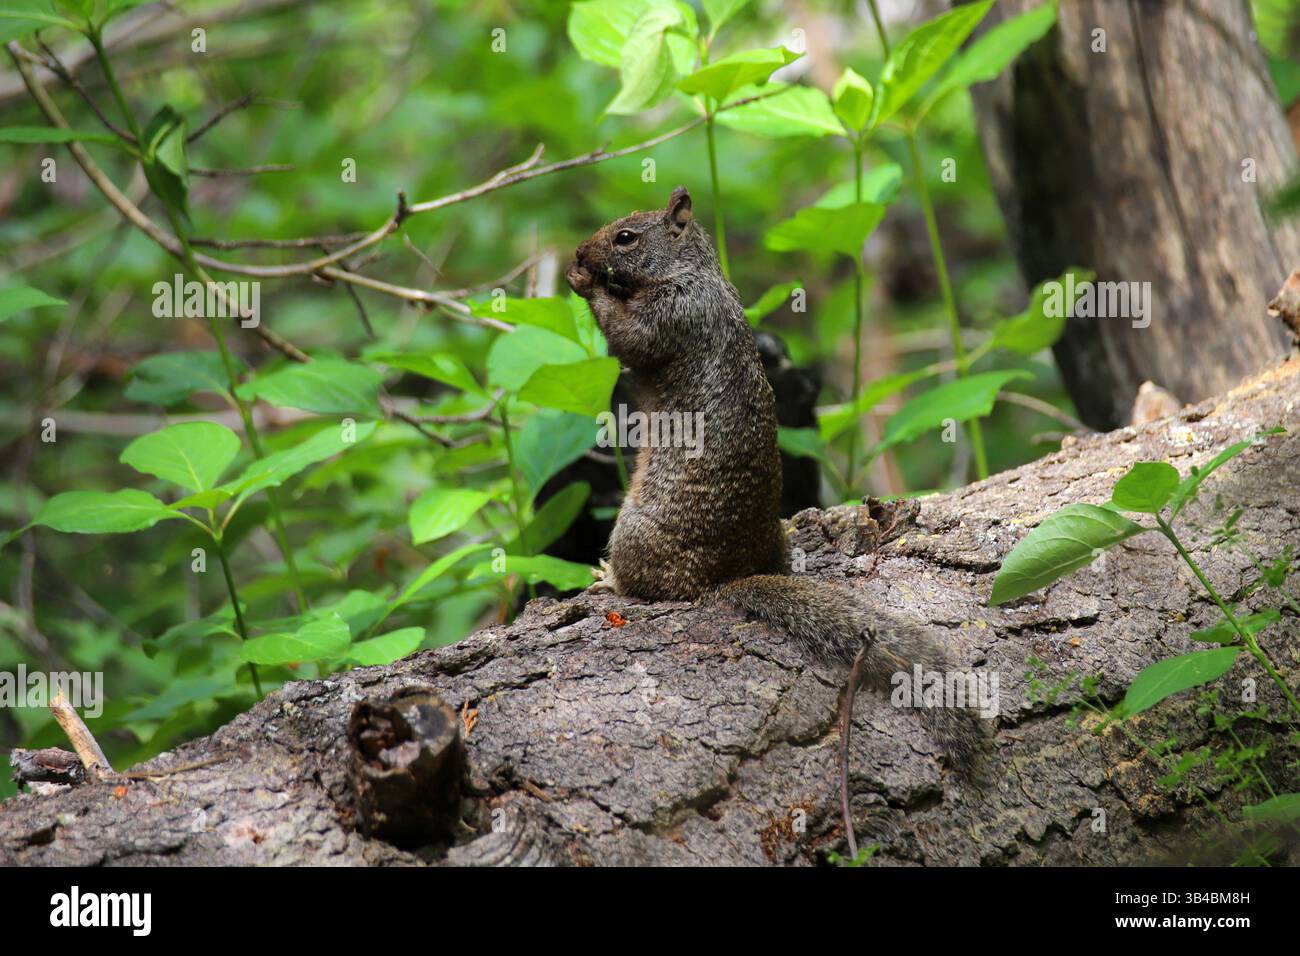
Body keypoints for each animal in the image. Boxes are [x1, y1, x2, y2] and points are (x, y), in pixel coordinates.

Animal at [565, 186, 985, 771]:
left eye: (625, 237)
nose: (582, 253)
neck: (693, 272)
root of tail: (725, 578)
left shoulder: (673, 315)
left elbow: (628, 336)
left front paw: (585, 282)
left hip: (633, 532)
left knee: (643, 587)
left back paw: (608, 578)